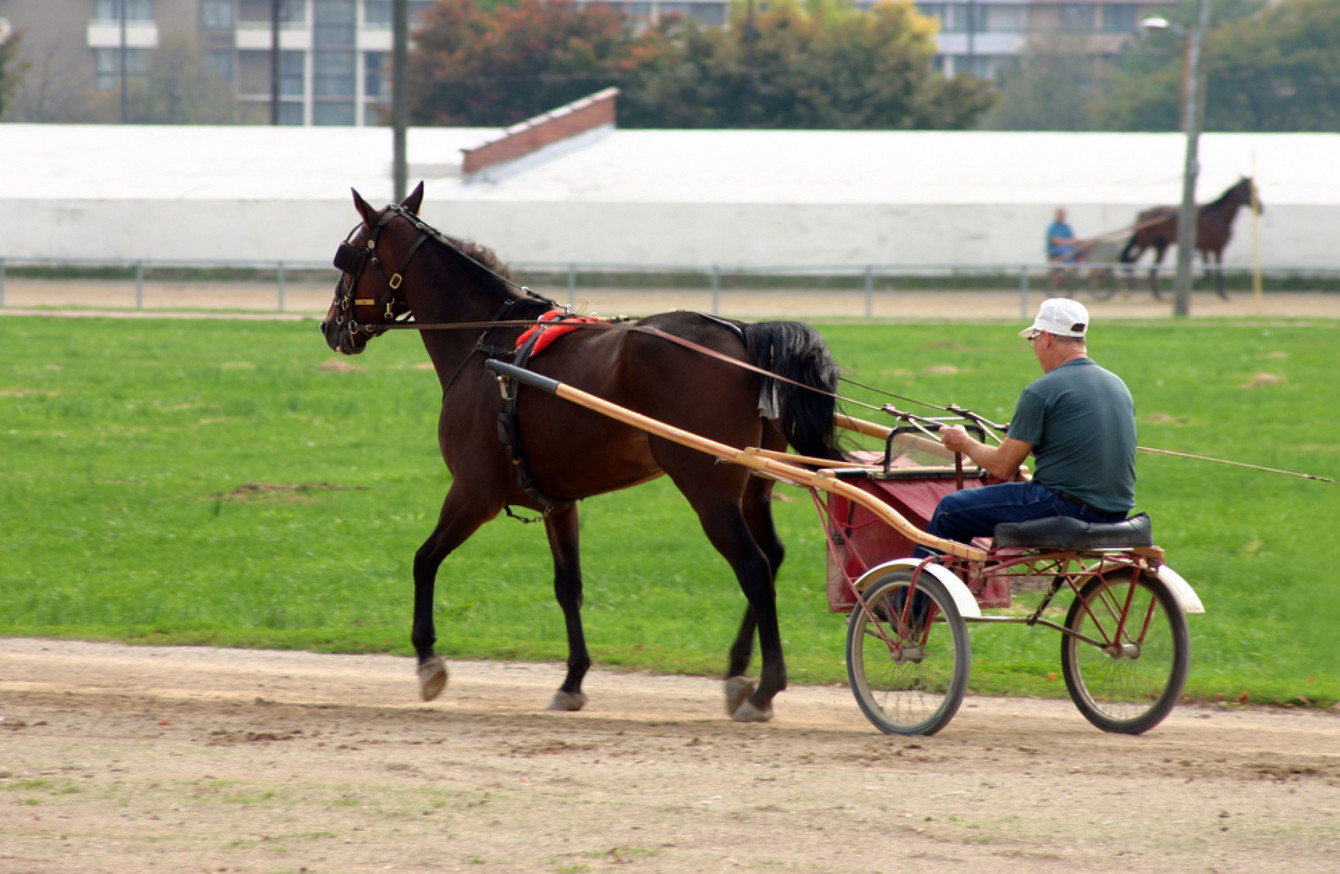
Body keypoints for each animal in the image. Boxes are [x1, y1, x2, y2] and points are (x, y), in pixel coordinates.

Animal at [320, 184, 841, 723]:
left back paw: (765, 687)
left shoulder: (474, 492)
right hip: (754, 484)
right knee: (771, 557)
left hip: (708, 487)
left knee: (754, 568)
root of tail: (743, 334)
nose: (330, 327)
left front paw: (427, 659)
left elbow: (424, 560)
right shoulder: (556, 501)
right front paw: (572, 679)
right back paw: (738, 670)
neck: (489, 343)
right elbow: (568, 585)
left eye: (350, 254)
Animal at [1120, 176, 1264, 300]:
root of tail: (1144, 213)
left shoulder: (1219, 249)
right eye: (1247, 190)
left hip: (1161, 246)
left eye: (1256, 189)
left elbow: (1219, 271)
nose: (1261, 208)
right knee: (1133, 262)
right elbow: (1208, 273)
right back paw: (1130, 291)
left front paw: (1222, 294)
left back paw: (1158, 294)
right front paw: (1195, 286)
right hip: (1145, 243)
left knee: (1153, 268)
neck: (1217, 217)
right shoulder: (1204, 248)